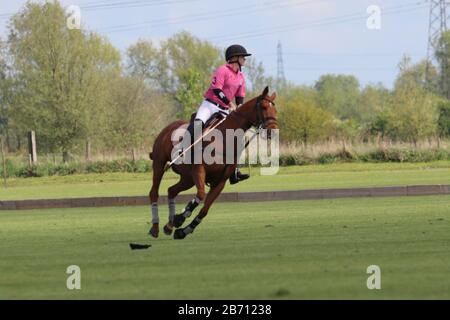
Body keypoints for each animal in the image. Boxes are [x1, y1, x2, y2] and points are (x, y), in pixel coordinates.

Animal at [148, 86, 278, 239]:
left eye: (275, 110)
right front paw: (179, 218)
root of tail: (168, 127)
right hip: (159, 164)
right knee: (154, 192)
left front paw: (182, 230)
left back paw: (168, 226)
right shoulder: (199, 170)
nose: (273, 132)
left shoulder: (220, 182)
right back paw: (155, 228)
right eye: (264, 107)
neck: (224, 139)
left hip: (187, 178)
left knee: (171, 190)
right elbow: (200, 196)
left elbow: (204, 210)